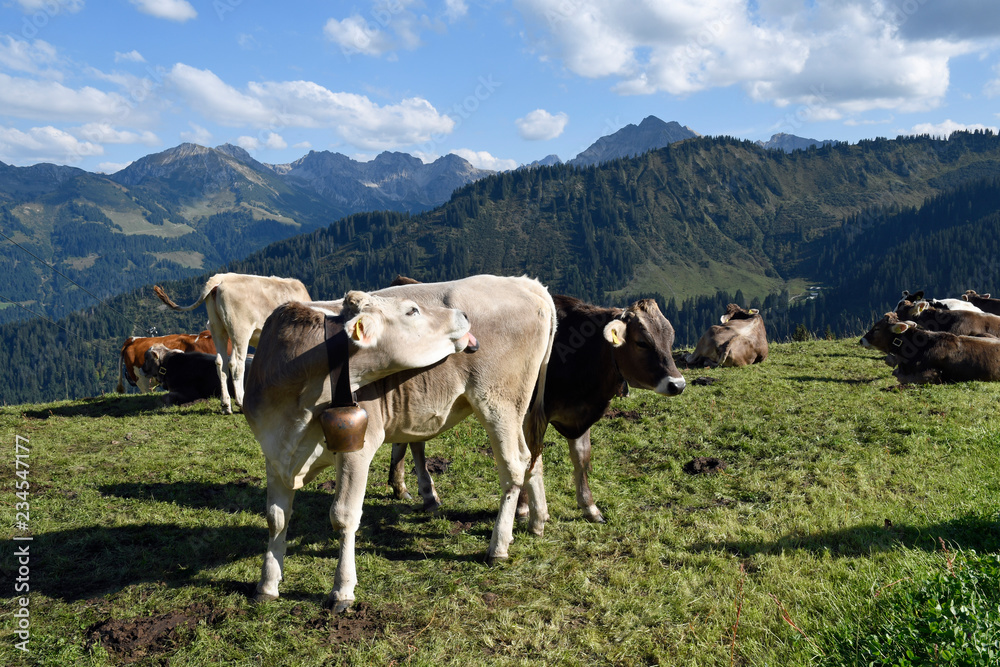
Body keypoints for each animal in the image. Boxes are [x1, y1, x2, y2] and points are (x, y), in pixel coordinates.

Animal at [150, 272, 308, 412]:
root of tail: (220, 278)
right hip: (240, 331)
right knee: (236, 364)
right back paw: (241, 403)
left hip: (217, 329)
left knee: (220, 363)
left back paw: (226, 405)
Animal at [242, 276, 556, 612]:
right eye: (412, 310)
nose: (463, 315)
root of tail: (522, 282)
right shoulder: (274, 452)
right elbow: (275, 518)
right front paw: (267, 584)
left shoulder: (359, 447)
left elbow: (343, 516)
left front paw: (342, 589)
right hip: (522, 406)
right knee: (532, 456)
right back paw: (537, 520)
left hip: (499, 402)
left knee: (514, 466)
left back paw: (498, 546)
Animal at [388, 294, 688, 524]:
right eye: (642, 342)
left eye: (670, 339)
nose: (678, 384)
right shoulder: (529, 413)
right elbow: (529, 457)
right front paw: (522, 510)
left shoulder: (578, 415)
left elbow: (581, 458)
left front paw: (590, 508)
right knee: (416, 442)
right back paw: (424, 493)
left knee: (408, 439)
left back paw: (406, 489)